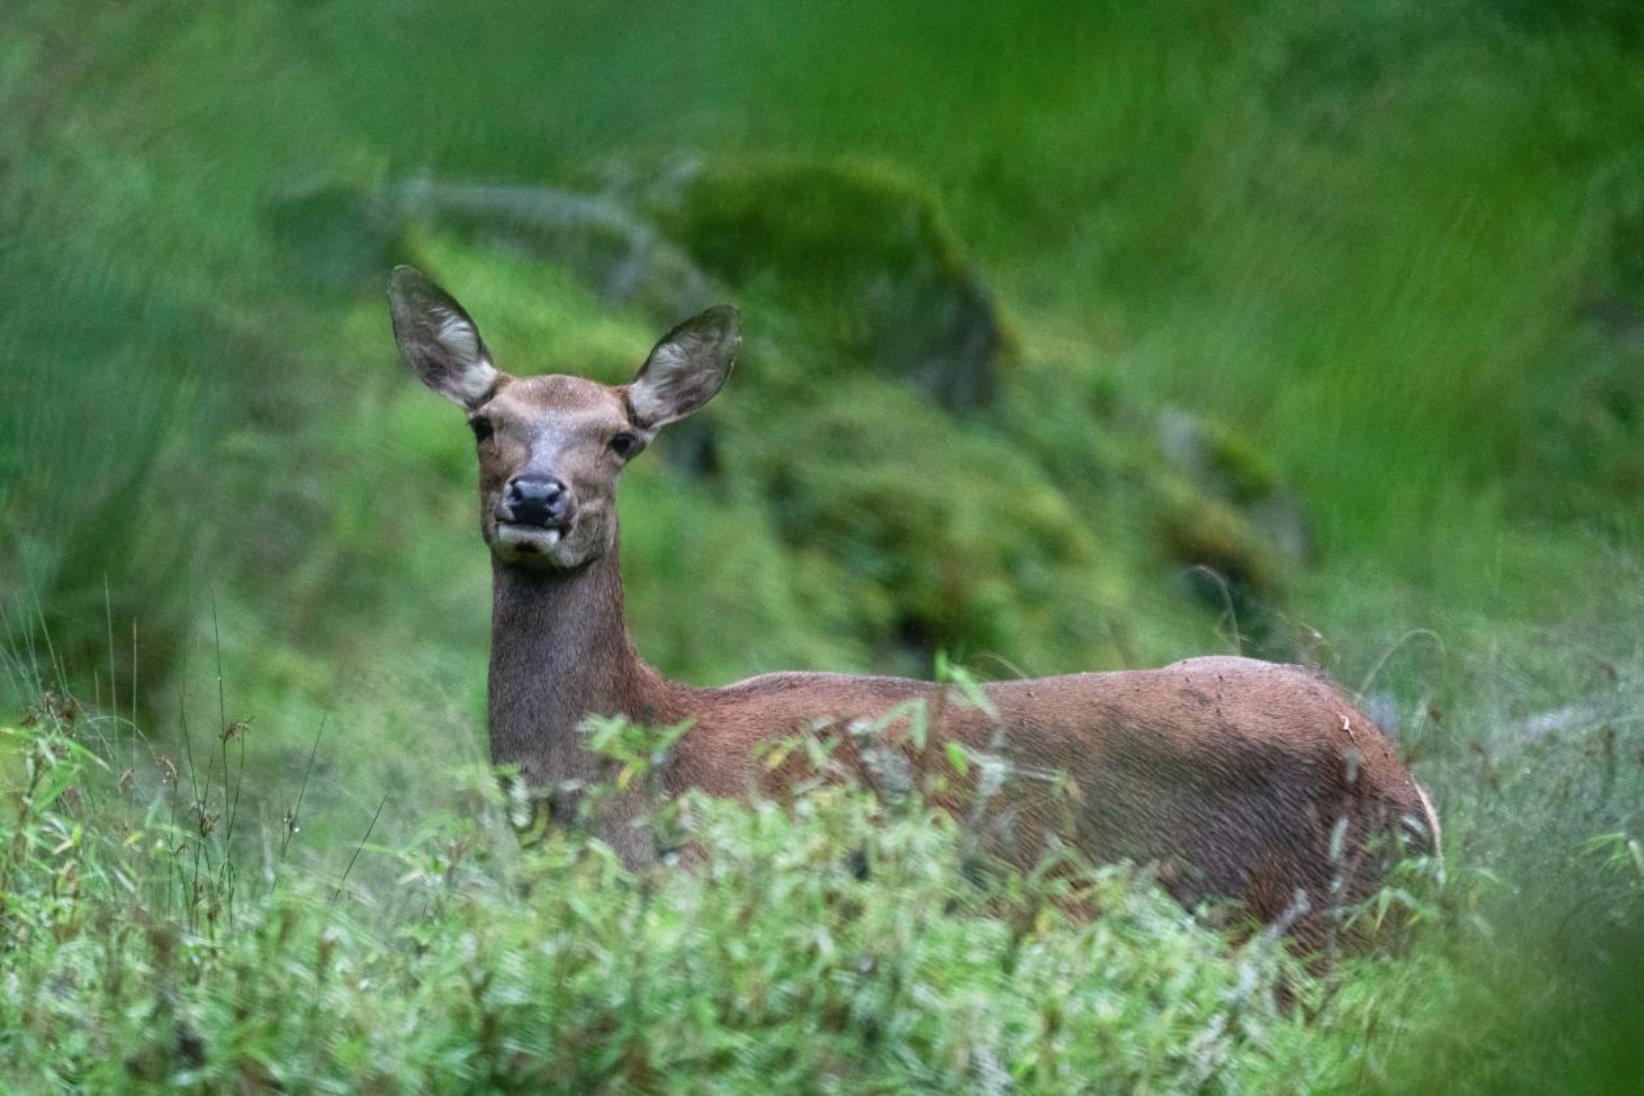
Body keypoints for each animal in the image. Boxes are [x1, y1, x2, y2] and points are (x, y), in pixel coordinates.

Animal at [388, 266, 1439, 948]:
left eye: (620, 438)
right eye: (485, 422)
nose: (535, 499)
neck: (631, 780)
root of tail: (1411, 791)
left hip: (1325, 934)